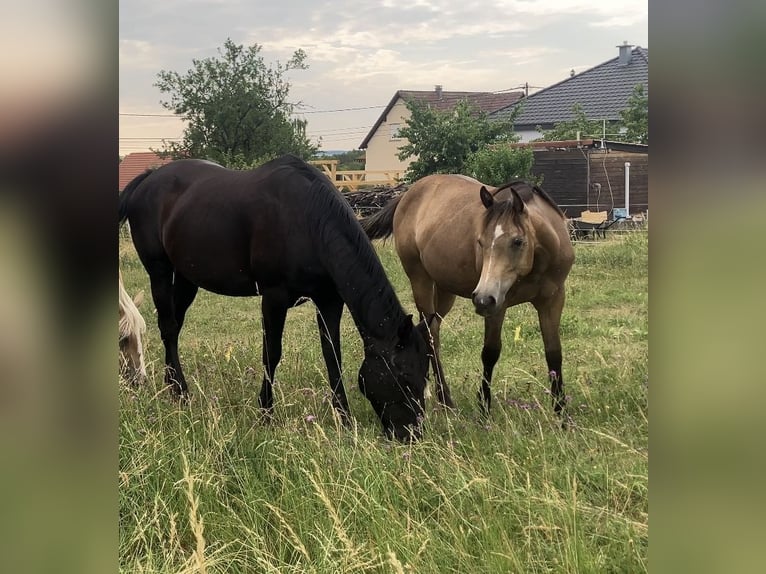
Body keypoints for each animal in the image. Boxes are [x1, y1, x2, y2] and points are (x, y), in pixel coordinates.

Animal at [118, 154, 430, 441]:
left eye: (424, 375)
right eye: (403, 377)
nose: (411, 435)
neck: (308, 219)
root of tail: (148, 179)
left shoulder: (329, 301)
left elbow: (333, 355)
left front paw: (344, 417)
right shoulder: (274, 298)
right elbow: (272, 353)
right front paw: (266, 413)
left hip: (186, 278)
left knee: (174, 328)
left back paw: (173, 385)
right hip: (159, 271)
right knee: (168, 326)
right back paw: (179, 390)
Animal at [361, 174, 574, 417]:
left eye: (518, 241)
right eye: (481, 242)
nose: (482, 298)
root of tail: (407, 195)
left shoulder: (553, 300)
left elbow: (554, 353)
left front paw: (561, 413)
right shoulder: (497, 306)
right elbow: (490, 352)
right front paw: (484, 408)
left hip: (445, 290)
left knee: (432, 331)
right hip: (420, 280)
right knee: (430, 336)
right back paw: (444, 399)